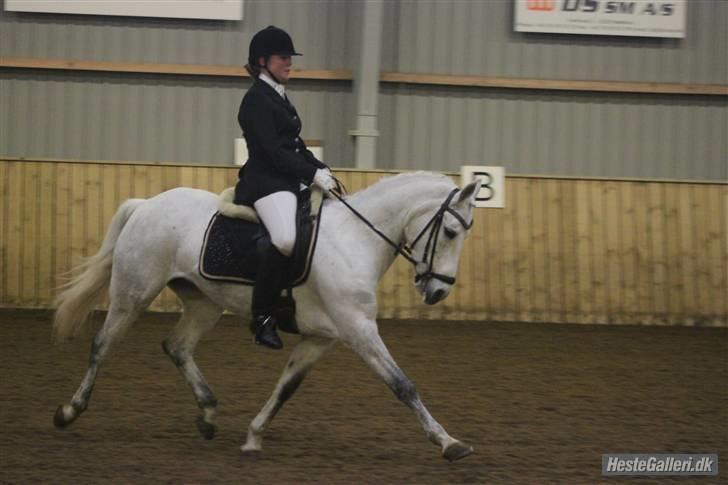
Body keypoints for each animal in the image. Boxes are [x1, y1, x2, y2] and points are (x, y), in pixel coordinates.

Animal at [52, 171, 481, 462]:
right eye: (451, 232)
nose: (438, 291)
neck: (354, 240)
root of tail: (146, 204)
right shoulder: (358, 330)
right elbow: (403, 385)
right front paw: (449, 443)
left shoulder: (321, 338)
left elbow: (286, 387)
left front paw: (253, 436)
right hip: (133, 292)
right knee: (103, 344)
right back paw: (69, 411)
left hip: (205, 303)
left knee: (177, 346)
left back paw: (209, 414)